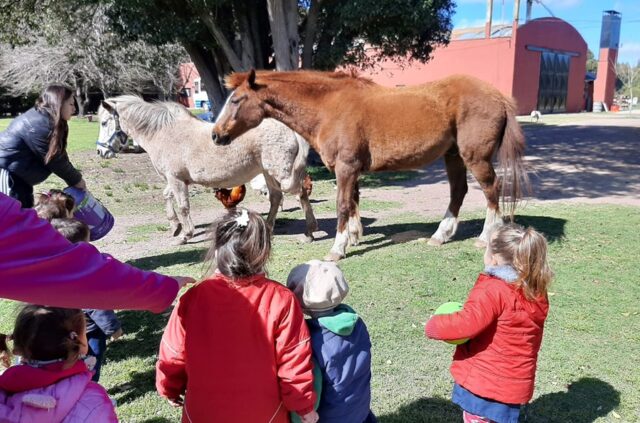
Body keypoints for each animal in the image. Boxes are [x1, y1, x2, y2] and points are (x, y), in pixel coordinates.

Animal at [97, 94, 318, 243]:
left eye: (104, 122)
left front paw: (186, 235)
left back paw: (309, 232)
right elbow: (167, 197)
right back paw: (269, 228)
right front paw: (175, 227)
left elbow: (183, 206)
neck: (163, 133)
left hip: (281, 172)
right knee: (276, 198)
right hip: (268, 173)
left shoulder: (176, 179)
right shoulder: (175, 179)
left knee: (300, 193)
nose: (101, 151)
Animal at [212, 70, 528, 262]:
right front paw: (354, 237)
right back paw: (440, 236)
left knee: (491, 190)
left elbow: (342, 205)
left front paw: (338, 249)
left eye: (237, 100)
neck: (329, 108)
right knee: (458, 192)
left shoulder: (346, 167)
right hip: (453, 156)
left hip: (475, 157)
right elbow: (353, 202)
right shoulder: (351, 171)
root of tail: (498, 95)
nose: (216, 135)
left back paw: (485, 238)